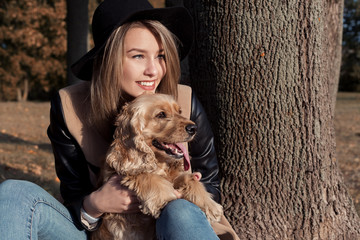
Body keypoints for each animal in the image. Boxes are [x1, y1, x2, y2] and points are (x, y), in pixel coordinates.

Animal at [90, 94, 222, 240]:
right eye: (161, 115)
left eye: (179, 111)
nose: (194, 128)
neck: (160, 163)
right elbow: (144, 173)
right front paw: (164, 197)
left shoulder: (175, 176)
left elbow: (191, 179)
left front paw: (210, 205)